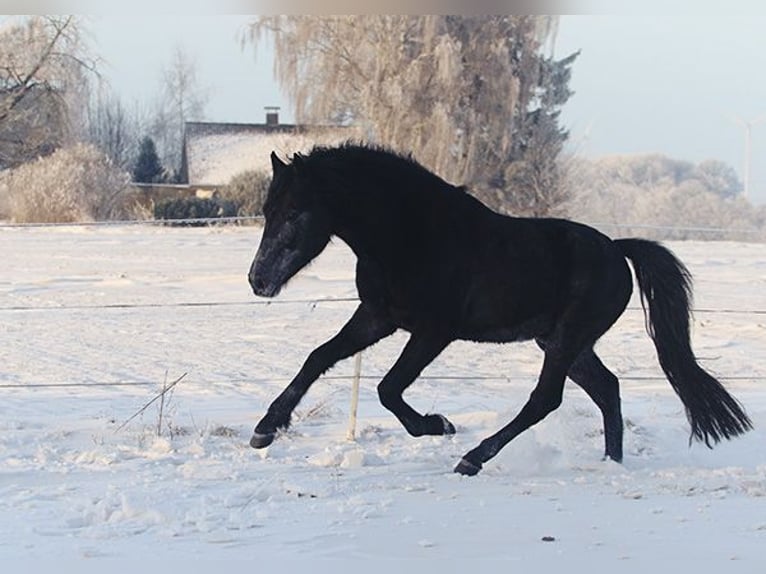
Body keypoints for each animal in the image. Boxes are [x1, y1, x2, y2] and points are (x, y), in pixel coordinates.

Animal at [246, 143, 752, 476]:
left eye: (295, 212)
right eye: (269, 210)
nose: (258, 280)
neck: (410, 236)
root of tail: (616, 249)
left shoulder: (433, 331)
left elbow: (388, 389)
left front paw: (438, 425)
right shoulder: (378, 317)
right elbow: (318, 358)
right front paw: (266, 429)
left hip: (566, 340)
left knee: (545, 399)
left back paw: (472, 459)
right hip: (565, 343)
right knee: (606, 389)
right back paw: (611, 462)